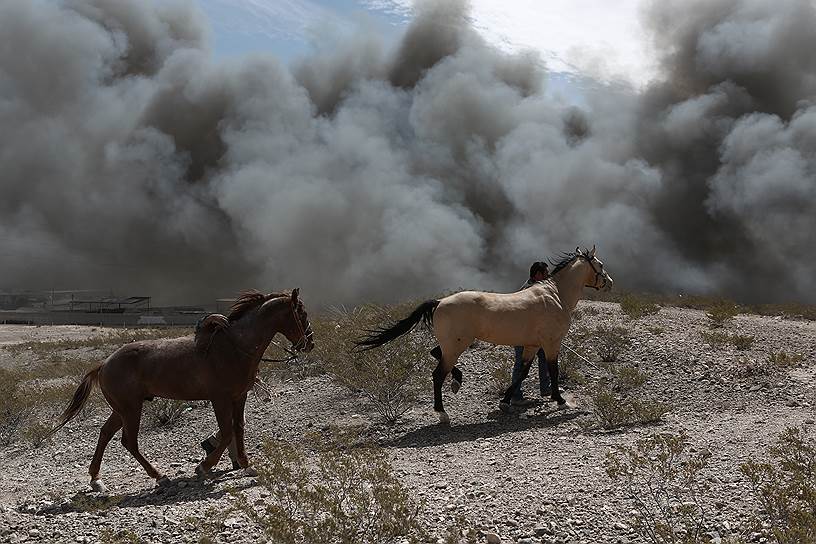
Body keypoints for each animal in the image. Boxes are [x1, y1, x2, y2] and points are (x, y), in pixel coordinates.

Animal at [50, 292, 312, 490]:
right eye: (301, 313)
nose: (309, 343)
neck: (234, 348)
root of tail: (104, 364)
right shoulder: (220, 399)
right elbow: (227, 433)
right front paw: (203, 468)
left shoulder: (239, 397)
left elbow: (238, 429)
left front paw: (246, 465)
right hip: (131, 409)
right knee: (128, 441)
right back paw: (159, 476)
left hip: (122, 409)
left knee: (105, 433)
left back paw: (96, 479)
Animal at [356, 244, 612, 422]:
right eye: (600, 264)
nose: (609, 282)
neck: (555, 294)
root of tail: (439, 302)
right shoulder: (551, 343)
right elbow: (553, 370)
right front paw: (561, 401)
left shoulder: (532, 345)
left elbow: (522, 373)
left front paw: (505, 402)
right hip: (457, 345)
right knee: (438, 375)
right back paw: (443, 413)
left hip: (452, 344)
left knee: (435, 352)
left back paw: (457, 381)